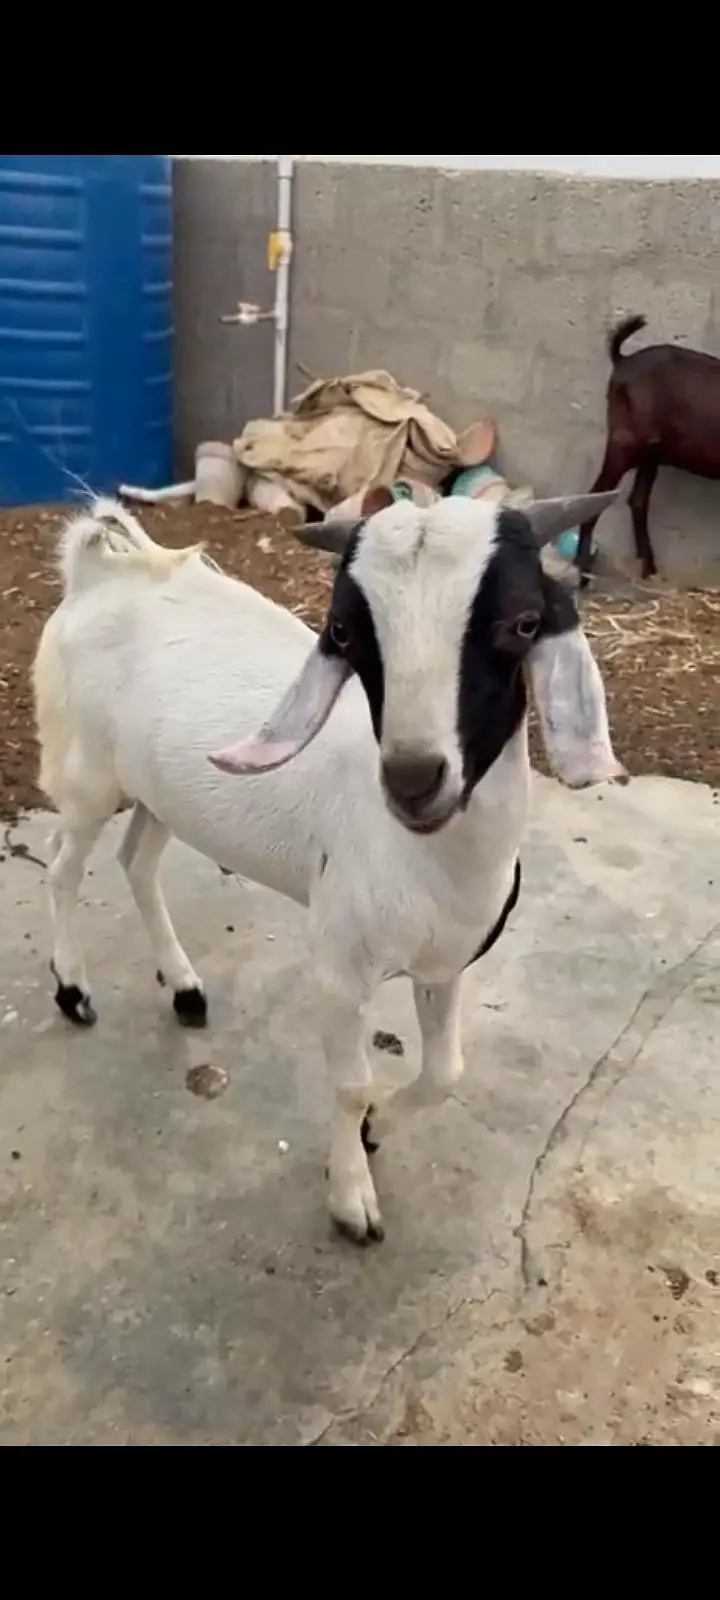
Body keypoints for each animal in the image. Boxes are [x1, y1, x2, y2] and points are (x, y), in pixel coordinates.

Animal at [34, 489, 624, 1245]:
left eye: (523, 622)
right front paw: (352, 1199)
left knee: (136, 861)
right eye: (344, 630)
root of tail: (98, 575)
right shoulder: (339, 966)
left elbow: (446, 1072)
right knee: (61, 867)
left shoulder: (443, 962)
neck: (433, 859)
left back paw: (185, 989)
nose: (414, 779)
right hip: (86, 775)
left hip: (163, 792)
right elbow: (350, 1085)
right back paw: (73, 990)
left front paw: (380, 1129)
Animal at [576, 314, 720, 582]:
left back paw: (648, 566)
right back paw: (582, 571)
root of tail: (623, 360)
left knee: (637, 500)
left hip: (650, 452)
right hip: (625, 442)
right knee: (595, 497)